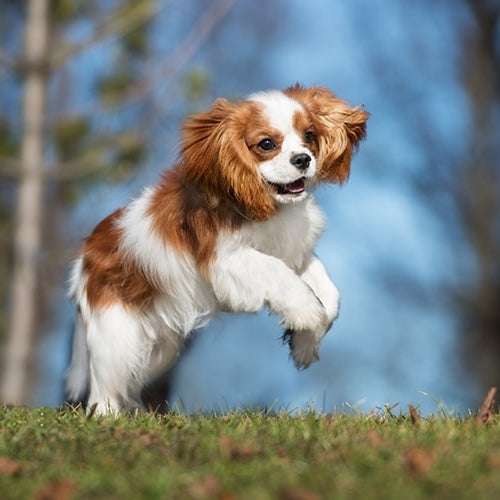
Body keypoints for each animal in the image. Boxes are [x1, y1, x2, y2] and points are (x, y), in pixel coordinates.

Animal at [65, 86, 368, 414]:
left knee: (131, 382)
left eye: (309, 135)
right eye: (267, 144)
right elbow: (282, 277)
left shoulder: (293, 252)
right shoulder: (228, 260)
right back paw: (109, 416)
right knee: (104, 387)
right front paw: (308, 314)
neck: (269, 206)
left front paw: (305, 344)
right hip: (117, 334)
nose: (303, 159)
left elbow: (330, 294)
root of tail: (84, 258)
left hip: (160, 348)